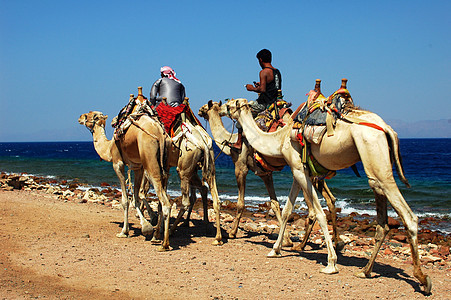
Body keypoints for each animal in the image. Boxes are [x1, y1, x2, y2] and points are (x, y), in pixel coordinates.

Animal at [199, 99, 342, 250]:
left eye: (206, 107)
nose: (199, 110)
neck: (230, 143)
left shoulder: (240, 166)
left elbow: (240, 203)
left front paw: (232, 232)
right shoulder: (265, 174)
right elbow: (275, 204)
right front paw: (286, 240)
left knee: (313, 211)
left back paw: (301, 245)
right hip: (315, 171)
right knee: (330, 199)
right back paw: (337, 242)